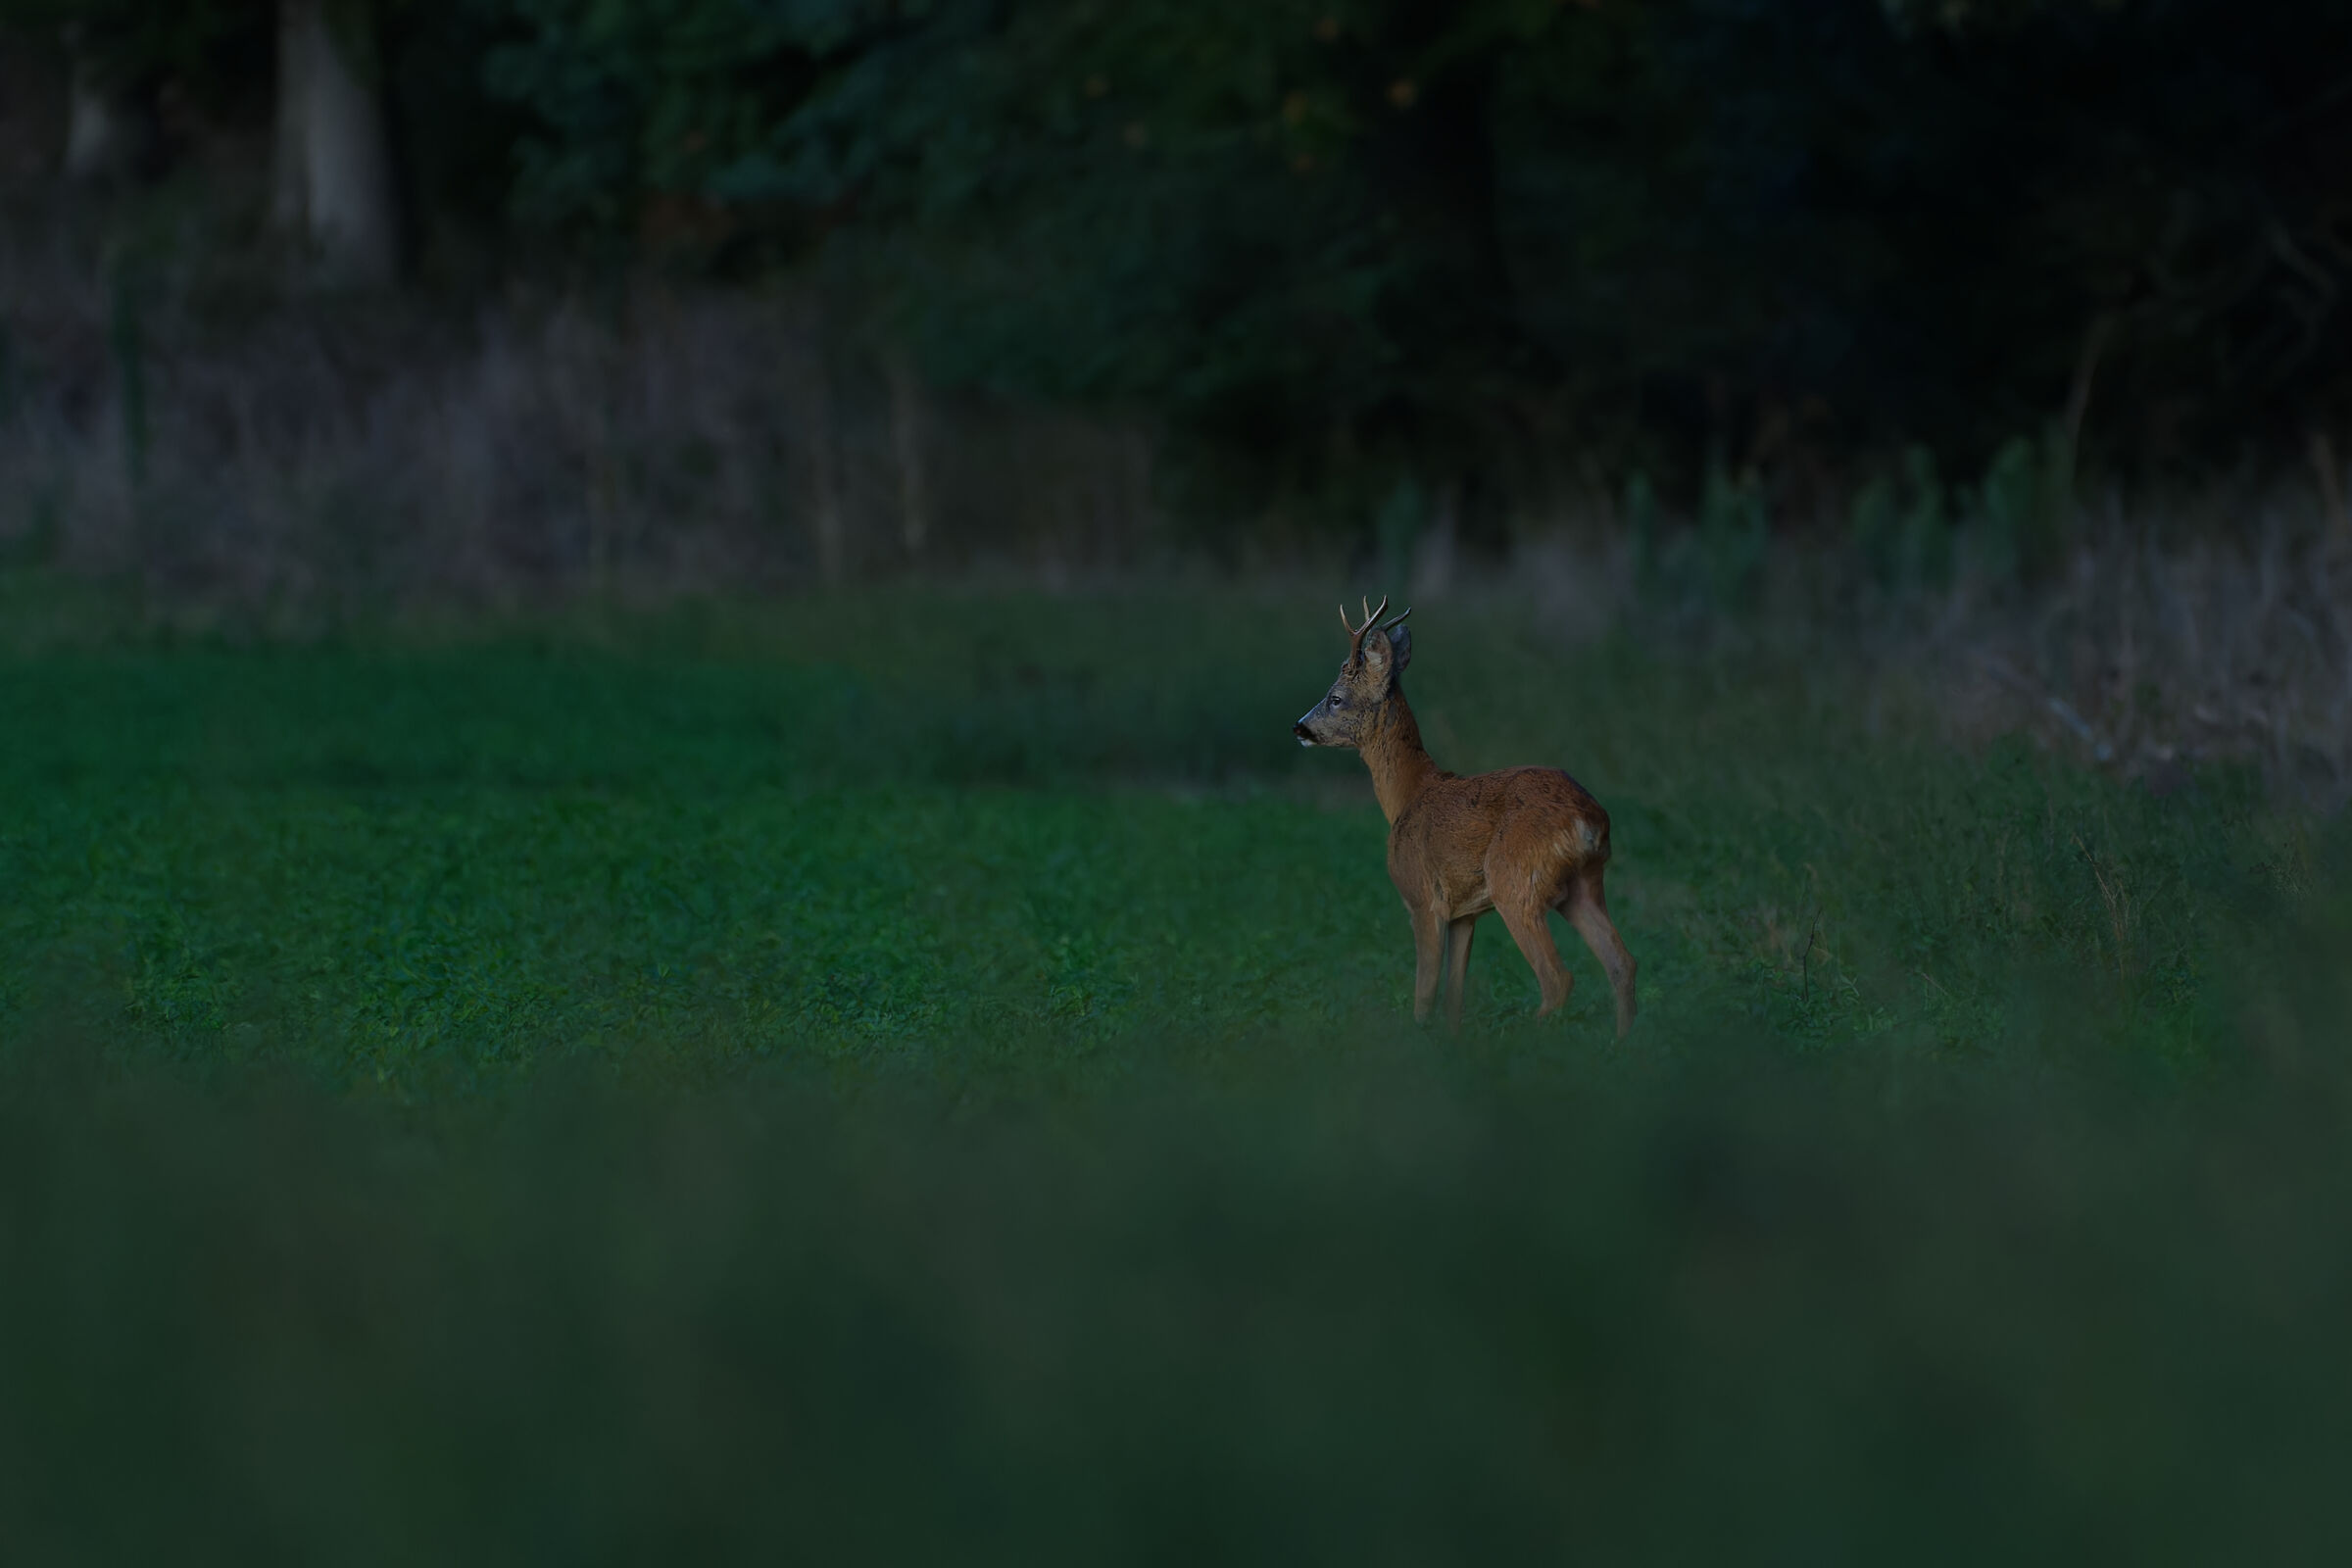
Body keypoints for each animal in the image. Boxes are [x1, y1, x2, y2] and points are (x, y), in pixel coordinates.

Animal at [1294, 596, 1638, 1037]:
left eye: (1335, 697)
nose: (1299, 727)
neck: (1408, 795)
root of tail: (1588, 819)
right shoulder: (1465, 913)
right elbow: (1452, 998)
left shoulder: (1422, 897)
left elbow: (1425, 996)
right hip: (1583, 885)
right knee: (1622, 963)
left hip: (1515, 883)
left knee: (1558, 978)